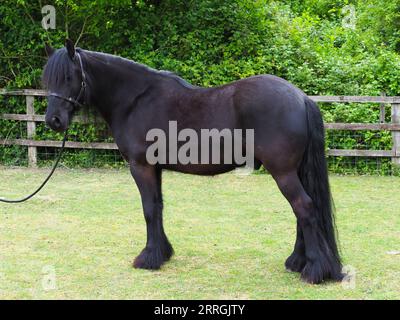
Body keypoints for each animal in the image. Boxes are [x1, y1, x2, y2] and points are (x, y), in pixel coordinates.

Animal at [41, 40, 344, 282]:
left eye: (68, 76)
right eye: (48, 79)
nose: (53, 120)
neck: (134, 100)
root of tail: (301, 97)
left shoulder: (141, 167)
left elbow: (148, 209)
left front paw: (147, 258)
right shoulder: (155, 168)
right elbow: (158, 207)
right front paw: (162, 254)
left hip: (283, 172)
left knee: (304, 208)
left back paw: (314, 271)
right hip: (295, 171)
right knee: (303, 211)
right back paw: (297, 262)